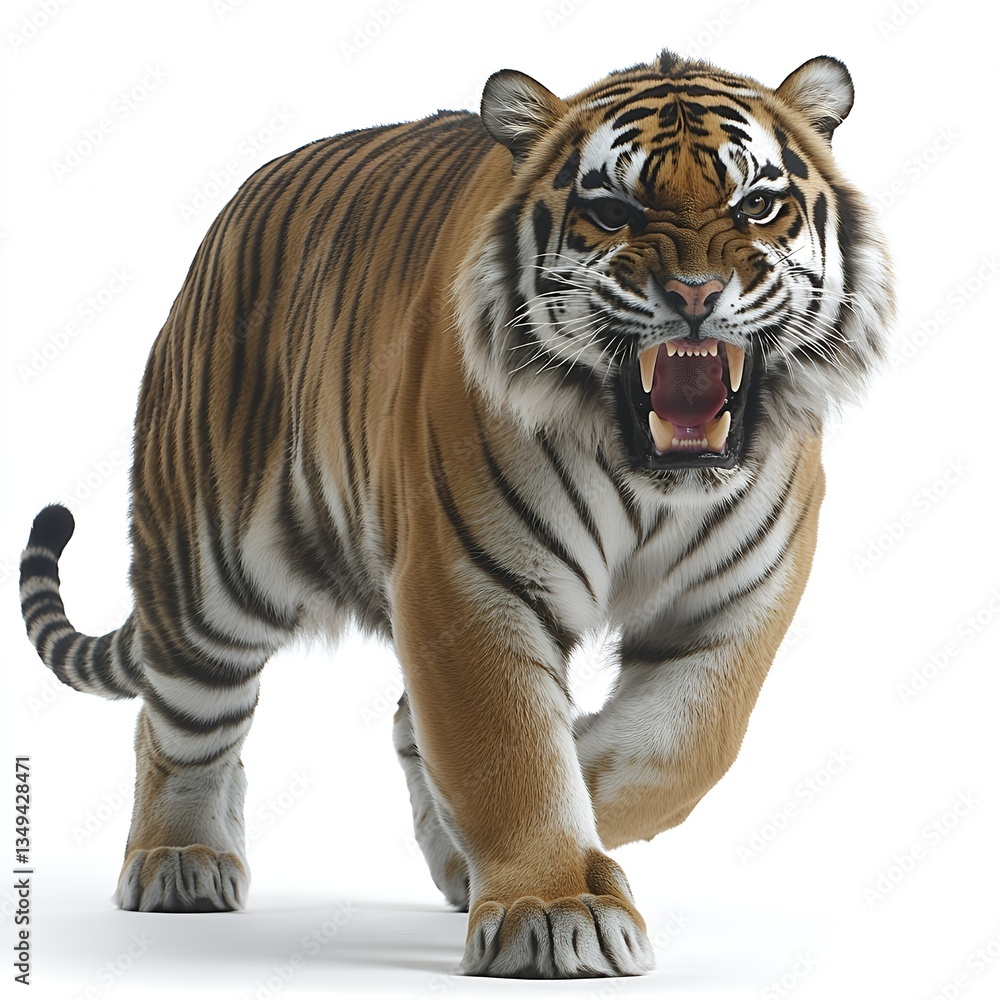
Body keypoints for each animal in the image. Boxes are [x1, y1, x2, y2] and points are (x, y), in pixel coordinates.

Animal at [19, 49, 892, 978]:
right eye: (611, 213)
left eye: (757, 205)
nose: (695, 292)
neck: (652, 482)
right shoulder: (470, 584)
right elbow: (511, 747)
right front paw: (557, 908)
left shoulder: (737, 600)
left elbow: (681, 748)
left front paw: (510, 841)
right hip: (210, 572)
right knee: (179, 722)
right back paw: (179, 862)